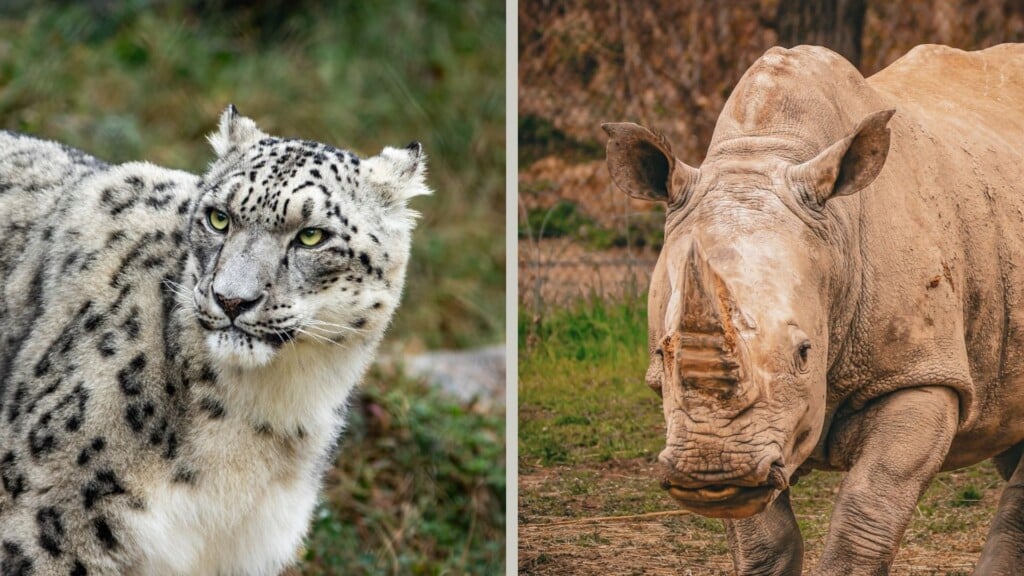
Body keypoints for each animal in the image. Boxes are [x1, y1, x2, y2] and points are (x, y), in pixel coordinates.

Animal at [602, 44, 1024, 575]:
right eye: (663, 352)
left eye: (804, 352)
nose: (712, 471)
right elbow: (764, 539)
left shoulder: (921, 372)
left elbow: (865, 514)